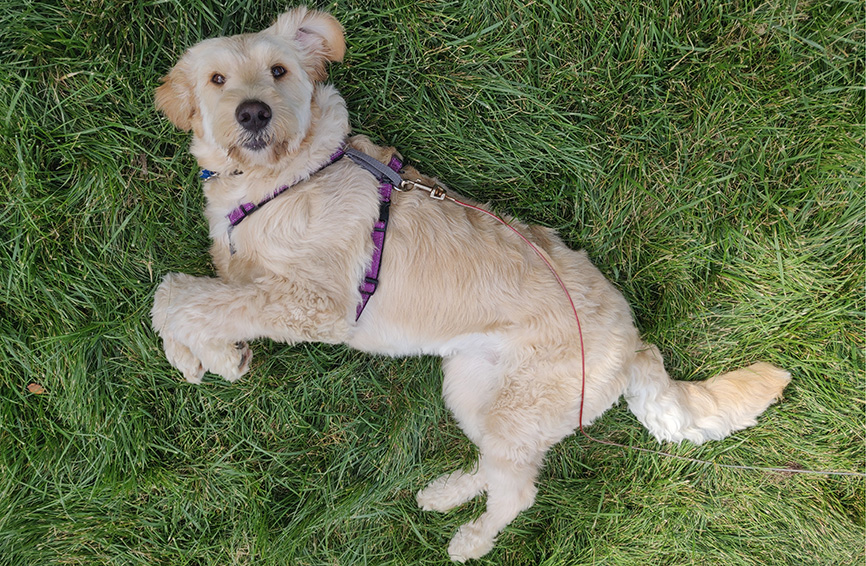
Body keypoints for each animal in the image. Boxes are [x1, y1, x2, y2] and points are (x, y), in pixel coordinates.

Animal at [150, 7, 788, 564]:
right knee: (501, 466)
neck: (285, 175)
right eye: (217, 79)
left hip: (515, 405)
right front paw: (217, 357)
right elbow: (204, 300)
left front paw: (196, 352)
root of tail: (633, 345)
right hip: (478, 390)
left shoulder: (315, 305)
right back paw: (446, 493)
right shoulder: (245, 279)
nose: (254, 113)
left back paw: (472, 540)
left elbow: (175, 295)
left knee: (519, 491)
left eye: (279, 70)